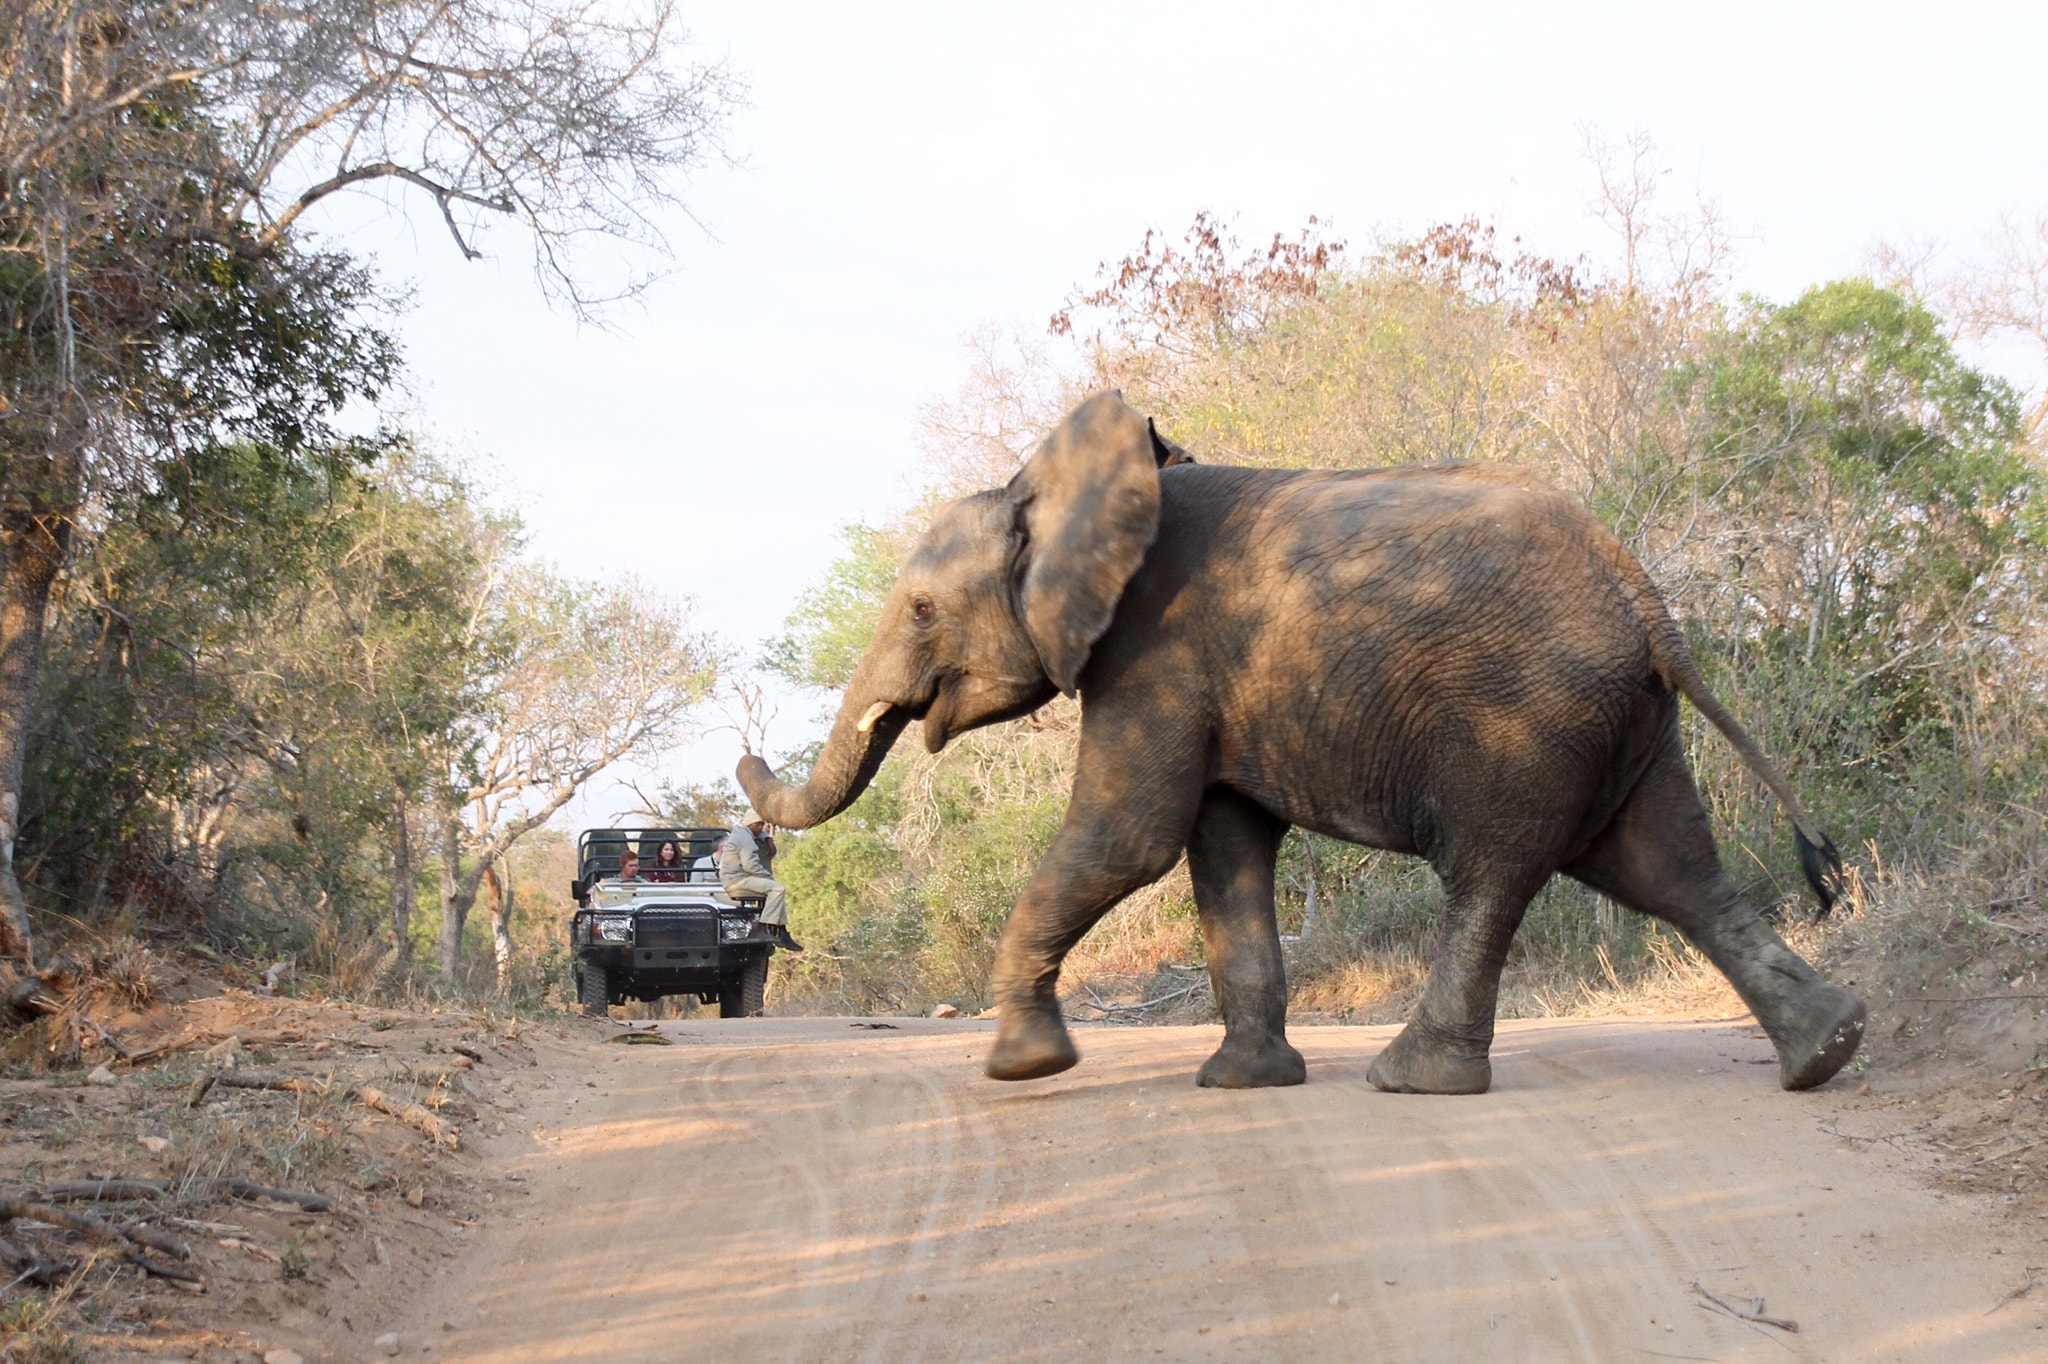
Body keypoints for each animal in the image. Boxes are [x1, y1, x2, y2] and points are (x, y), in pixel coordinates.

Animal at [738, 393, 1867, 1094]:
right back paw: (1828, 1051)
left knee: (1493, 871)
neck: (1059, 488)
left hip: (1524, 717)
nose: (744, 765)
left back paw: (1412, 1080)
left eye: (923, 609)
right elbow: (1224, 848)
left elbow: (1128, 840)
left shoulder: (1154, 652)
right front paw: (1243, 1084)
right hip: (1621, 721)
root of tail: (1645, 599)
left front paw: (1023, 1067)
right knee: (1670, 869)